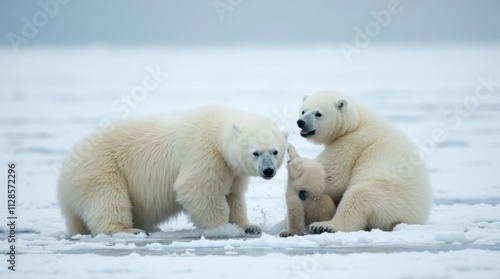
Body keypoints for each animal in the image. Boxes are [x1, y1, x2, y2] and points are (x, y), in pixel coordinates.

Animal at [57, 107, 288, 236]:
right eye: (256, 152)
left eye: (275, 151)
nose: (268, 171)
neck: (217, 131)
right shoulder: (202, 152)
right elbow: (197, 189)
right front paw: (223, 228)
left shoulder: (232, 170)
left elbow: (233, 196)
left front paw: (249, 226)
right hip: (101, 166)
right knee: (108, 198)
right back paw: (128, 230)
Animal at [296, 92, 434, 234]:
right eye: (303, 111)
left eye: (318, 113)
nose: (301, 122)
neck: (356, 122)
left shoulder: (352, 142)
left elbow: (333, 177)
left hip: (388, 196)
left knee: (357, 196)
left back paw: (325, 226)